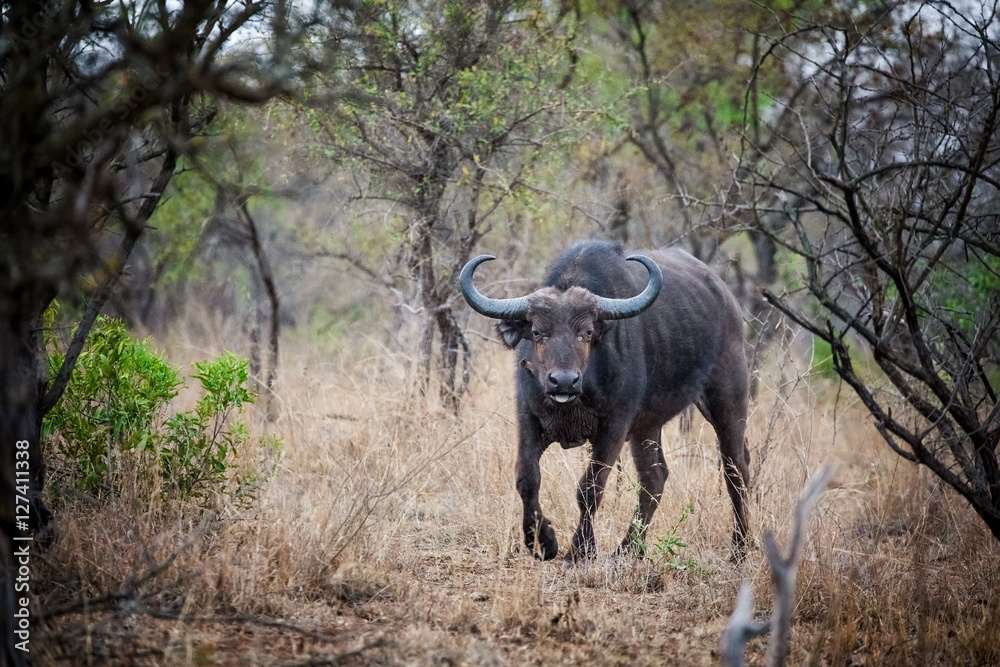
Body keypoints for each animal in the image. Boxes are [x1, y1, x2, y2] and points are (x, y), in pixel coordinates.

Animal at [460, 240, 750, 563]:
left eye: (587, 332)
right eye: (537, 332)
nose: (563, 381)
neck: (576, 398)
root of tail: (727, 299)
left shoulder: (614, 428)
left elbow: (590, 488)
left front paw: (580, 551)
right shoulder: (529, 420)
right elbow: (527, 479)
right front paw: (542, 542)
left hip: (728, 400)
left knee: (736, 468)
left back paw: (740, 546)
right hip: (647, 425)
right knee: (655, 477)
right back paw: (629, 548)